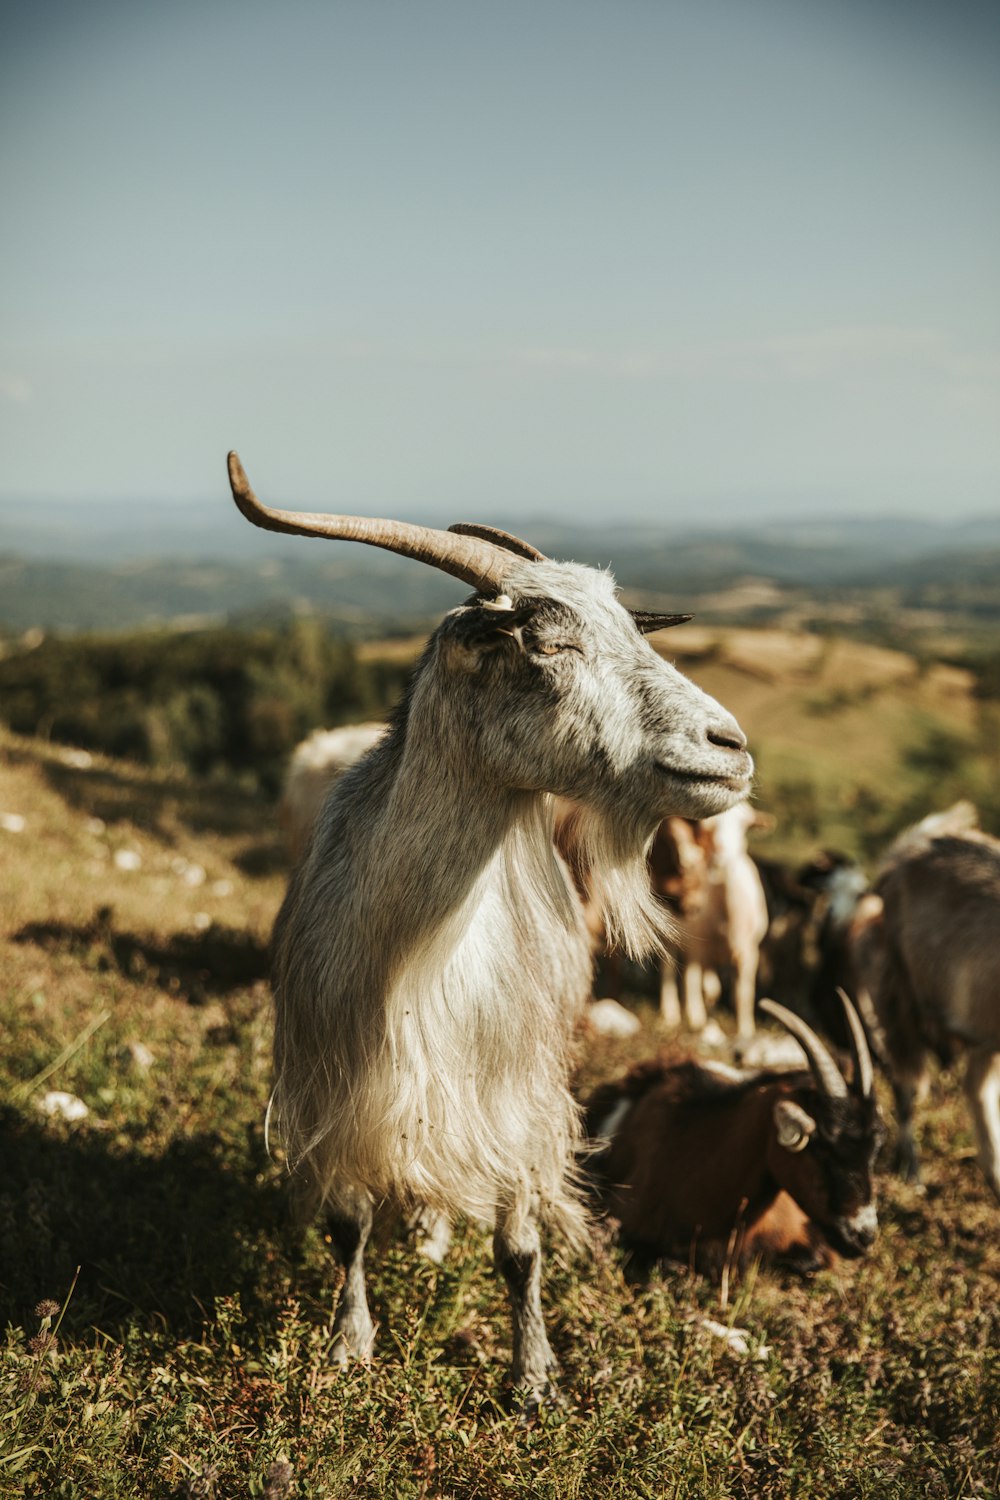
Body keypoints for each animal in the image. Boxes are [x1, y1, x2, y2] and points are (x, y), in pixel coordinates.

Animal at [226, 450, 755, 1398]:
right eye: (547, 640)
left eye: (633, 630)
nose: (728, 747)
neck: (420, 953)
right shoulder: (341, 1080)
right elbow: (349, 1225)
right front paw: (348, 1344)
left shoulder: (516, 1095)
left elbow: (519, 1247)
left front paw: (536, 1375)